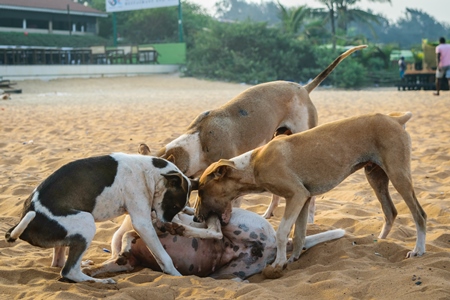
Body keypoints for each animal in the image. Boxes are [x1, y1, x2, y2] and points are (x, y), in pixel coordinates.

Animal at [4, 154, 195, 282]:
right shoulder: (142, 223)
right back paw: (99, 281)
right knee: (68, 271)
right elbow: (165, 258)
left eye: (179, 208)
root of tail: (25, 223)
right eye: (174, 206)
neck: (148, 172)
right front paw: (177, 276)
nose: (164, 228)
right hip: (86, 223)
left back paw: (85, 265)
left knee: (59, 263)